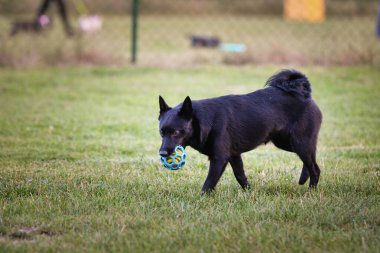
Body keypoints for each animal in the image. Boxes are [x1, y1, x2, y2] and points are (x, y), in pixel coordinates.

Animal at [159, 70, 322, 193]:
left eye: (176, 132)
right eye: (161, 132)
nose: (162, 153)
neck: (204, 120)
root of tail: (305, 94)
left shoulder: (219, 159)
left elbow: (209, 183)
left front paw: (201, 199)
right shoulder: (234, 156)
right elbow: (240, 176)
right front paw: (250, 193)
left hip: (299, 143)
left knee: (315, 169)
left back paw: (310, 193)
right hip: (287, 143)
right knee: (310, 161)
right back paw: (304, 179)